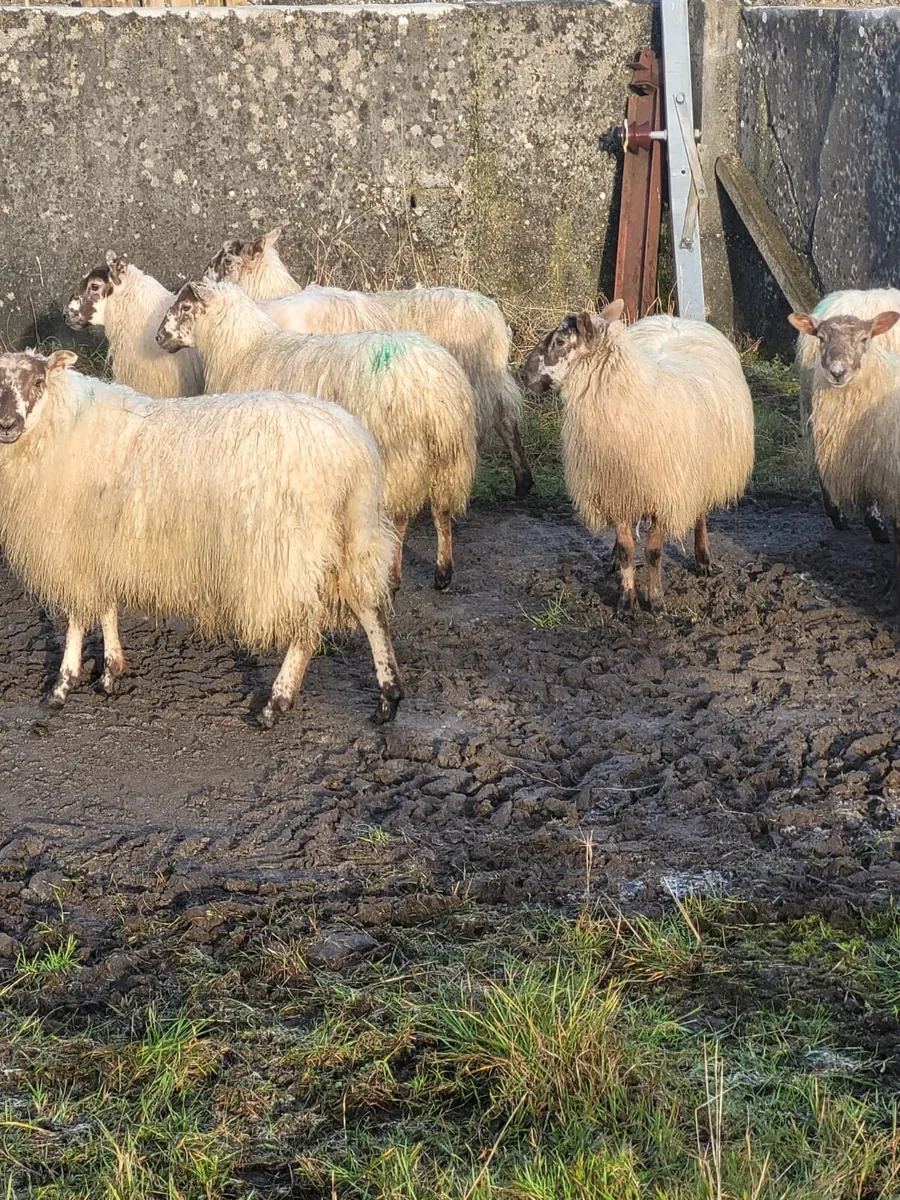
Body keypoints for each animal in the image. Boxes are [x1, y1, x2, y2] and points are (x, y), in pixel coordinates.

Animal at [0, 348, 403, 728]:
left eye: (38, 382)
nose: (7, 424)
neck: (61, 425)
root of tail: (354, 449)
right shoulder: (99, 546)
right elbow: (106, 608)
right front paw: (111, 672)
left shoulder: (71, 546)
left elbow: (77, 618)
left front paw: (63, 685)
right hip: (353, 533)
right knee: (371, 609)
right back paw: (389, 698)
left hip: (288, 551)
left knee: (307, 626)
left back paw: (276, 703)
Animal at [156, 280, 478, 593]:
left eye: (186, 307)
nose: (158, 337)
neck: (243, 350)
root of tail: (431, 382)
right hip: (449, 456)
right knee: (442, 511)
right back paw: (443, 573)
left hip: (401, 452)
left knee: (400, 517)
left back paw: (395, 576)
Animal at [203, 228, 534, 498]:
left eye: (227, 260)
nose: (200, 279)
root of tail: (495, 317)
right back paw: (523, 482)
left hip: (474, 380)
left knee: (500, 420)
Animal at [523, 301, 755, 613]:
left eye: (559, 342)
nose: (524, 375)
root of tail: (676, 319)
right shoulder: (616, 490)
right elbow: (626, 550)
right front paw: (626, 598)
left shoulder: (665, 494)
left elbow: (654, 551)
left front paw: (655, 600)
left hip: (703, 471)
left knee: (699, 514)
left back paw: (703, 558)